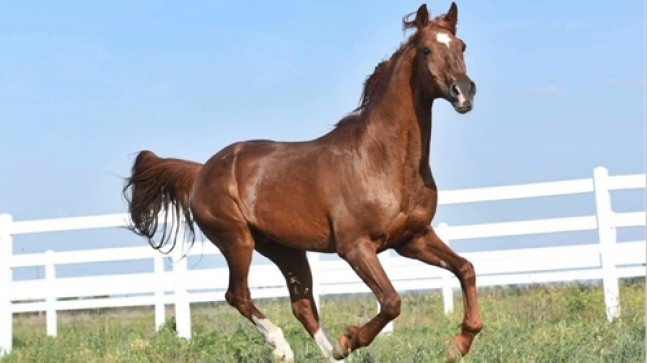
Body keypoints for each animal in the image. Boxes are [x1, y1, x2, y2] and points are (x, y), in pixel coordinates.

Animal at [125, 3, 480, 363]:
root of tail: (202, 171)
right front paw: (349, 338)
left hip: (285, 249)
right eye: (426, 50)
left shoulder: (413, 238)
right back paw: (282, 347)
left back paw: (328, 352)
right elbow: (392, 301)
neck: (381, 161)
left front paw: (459, 343)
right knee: (238, 295)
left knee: (303, 306)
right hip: (237, 241)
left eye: (461, 46)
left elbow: (465, 268)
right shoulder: (355, 247)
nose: (463, 92)